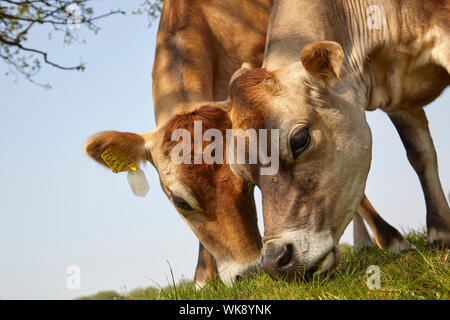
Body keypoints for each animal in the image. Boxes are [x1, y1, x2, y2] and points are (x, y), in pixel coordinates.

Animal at [229, 0, 450, 278]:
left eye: (299, 140)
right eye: (241, 173)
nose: (274, 261)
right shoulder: (395, 96)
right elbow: (420, 152)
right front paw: (440, 232)